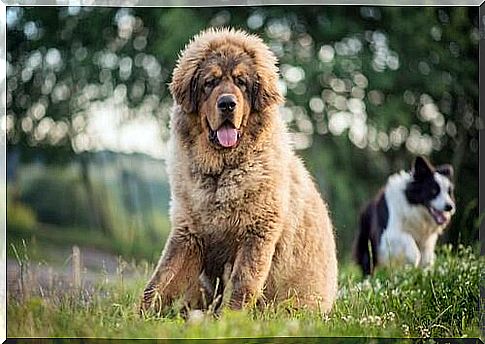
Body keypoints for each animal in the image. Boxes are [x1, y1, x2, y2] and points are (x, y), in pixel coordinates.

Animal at [140, 28, 336, 314]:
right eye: (209, 83)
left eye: (242, 82)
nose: (227, 104)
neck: (221, 172)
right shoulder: (188, 235)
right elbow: (160, 282)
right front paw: (136, 317)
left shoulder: (256, 235)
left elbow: (242, 285)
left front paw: (228, 320)